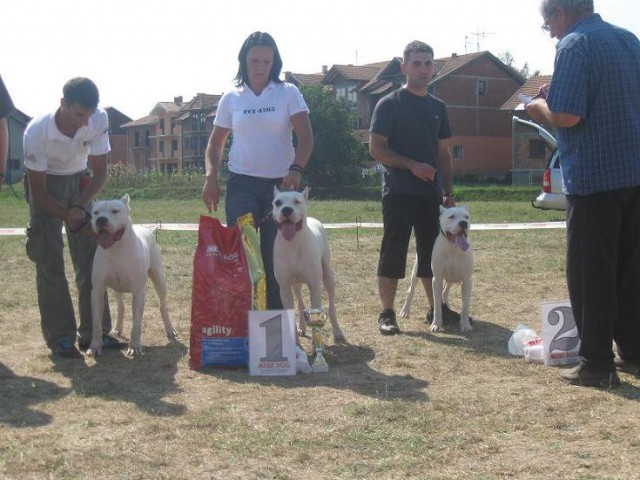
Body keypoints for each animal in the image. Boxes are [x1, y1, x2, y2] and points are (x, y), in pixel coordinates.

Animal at [87, 195, 178, 356]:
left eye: (115, 211)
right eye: (95, 213)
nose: (101, 220)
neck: (117, 250)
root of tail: (146, 229)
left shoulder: (138, 292)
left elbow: (136, 323)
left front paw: (134, 346)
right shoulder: (97, 291)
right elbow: (97, 323)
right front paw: (95, 346)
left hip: (159, 279)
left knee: (163, 305)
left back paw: (170, 329)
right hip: (116, 288)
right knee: (121, 306)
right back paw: (117, 328)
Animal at [272, 186, 344, 344]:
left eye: (297, 201)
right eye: (278, 202)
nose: (286, 210)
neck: (293, 244)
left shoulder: (315, 285)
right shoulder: (284, 288)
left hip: (328, 275)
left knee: (331, 305)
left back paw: (337, 331)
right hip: (296, 284)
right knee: (300, 303)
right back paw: (302, 328)